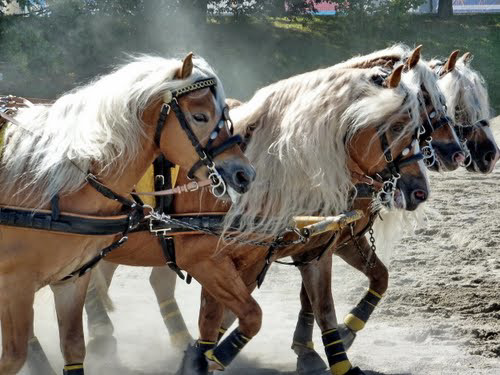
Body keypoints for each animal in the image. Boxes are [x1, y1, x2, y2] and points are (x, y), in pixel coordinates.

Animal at [0, 53, 254, 375]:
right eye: (200, 117)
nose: (244, 173)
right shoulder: (15, 285)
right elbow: (13, 357)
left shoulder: (70, 280)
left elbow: (73, 347)